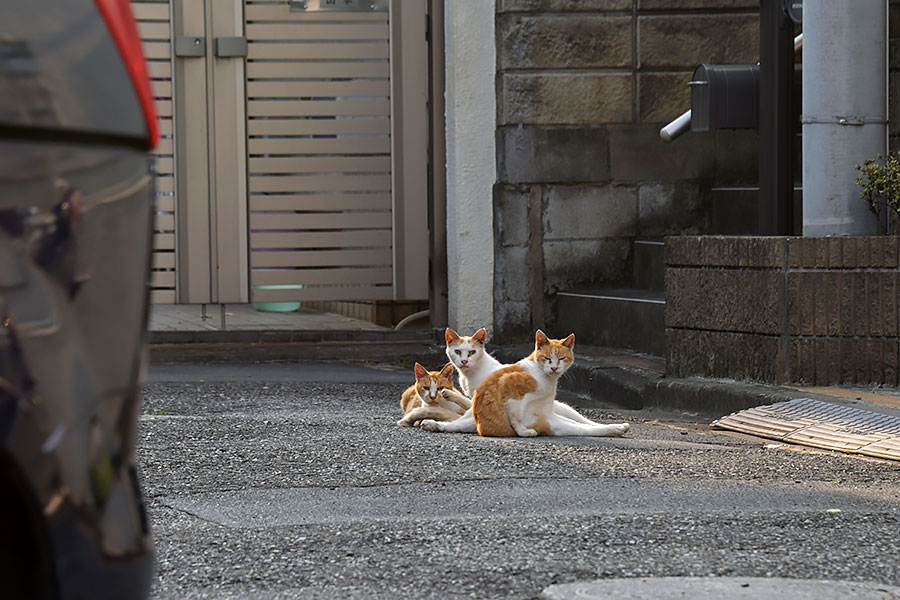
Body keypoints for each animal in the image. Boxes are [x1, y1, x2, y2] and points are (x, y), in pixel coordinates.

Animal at [420, 330, 624, 438]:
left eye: (471, 353)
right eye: (457, 352)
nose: (463, 361)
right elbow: (513, 414)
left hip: (561, 414)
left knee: (584, 423)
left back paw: (618, 428)